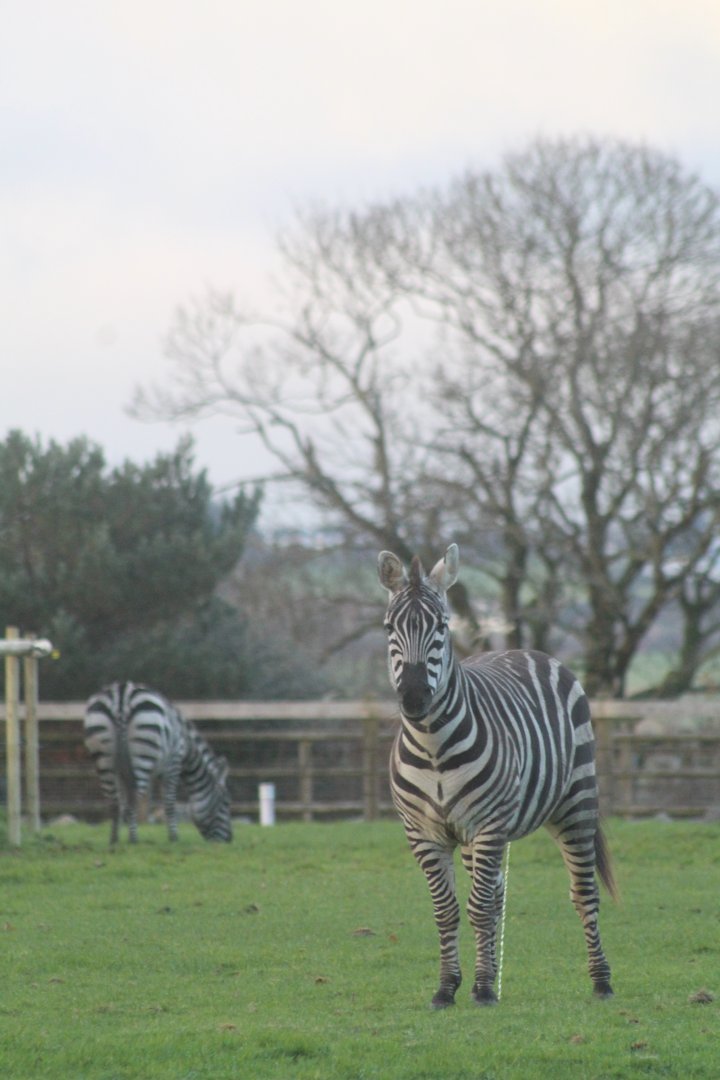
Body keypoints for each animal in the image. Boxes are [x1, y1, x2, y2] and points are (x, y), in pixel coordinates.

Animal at [83, 681, 233, 844]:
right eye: (226, 803)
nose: (229, 839)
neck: (186, 744)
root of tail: (122, 695)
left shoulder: (123, 771)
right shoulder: (173, 762)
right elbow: (169, 801)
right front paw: (174, 837)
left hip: (104, 756)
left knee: (114, 801)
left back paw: (114, 841)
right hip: (142, 752)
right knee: (134, 798)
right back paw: (133, 840)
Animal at [377, 543, 616, 1008]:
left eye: (442, 626)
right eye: (389, 627)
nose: (414, 698)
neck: (433, 747)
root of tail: (528, 650)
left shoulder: (487, 825)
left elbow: (478, 907)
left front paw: (484, 988)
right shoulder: (423, 833)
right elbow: (448, 910)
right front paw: (448, 987)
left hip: (574, 803)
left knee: (583, 893)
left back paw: (600, 982)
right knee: (497, 898)